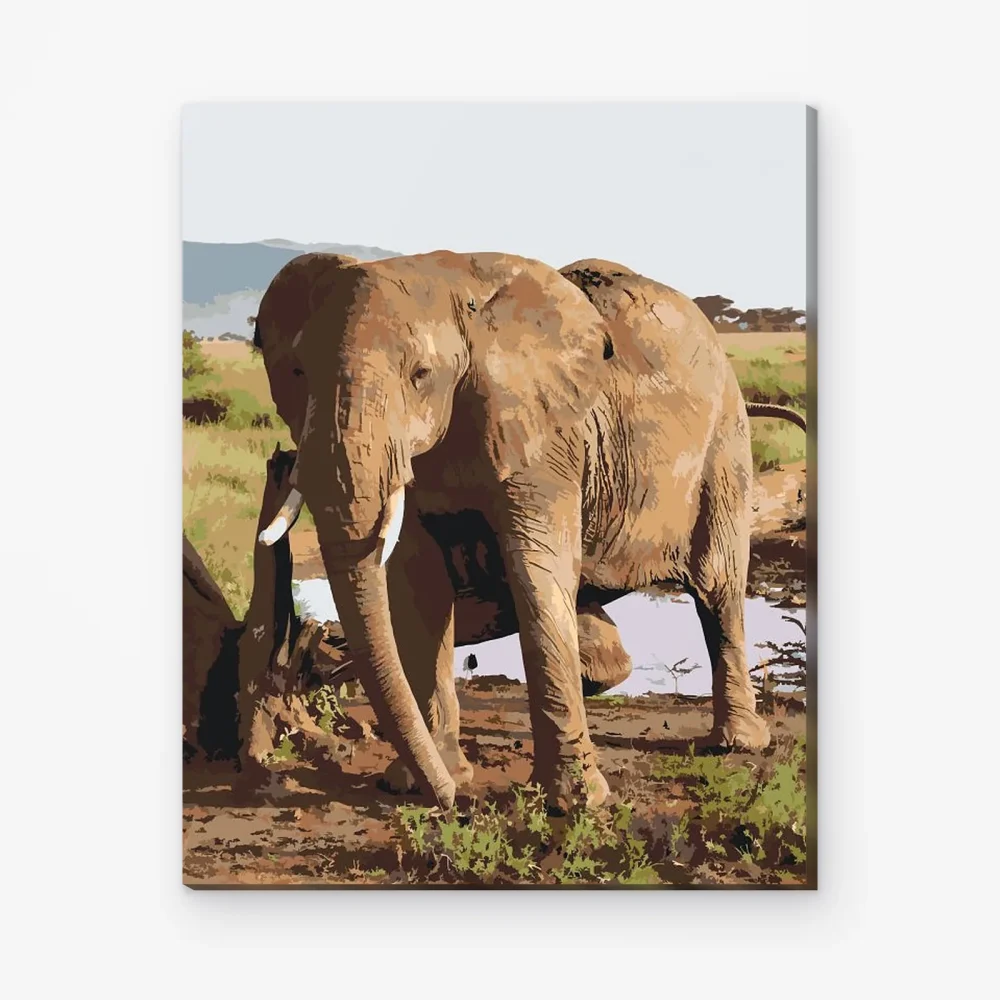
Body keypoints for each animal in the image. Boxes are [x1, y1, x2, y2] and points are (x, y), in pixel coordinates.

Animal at [252, 250, 806, 813]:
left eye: (420, 374)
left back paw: (735, 744)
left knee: (718, 587)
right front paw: (418, 782)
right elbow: (418, 586)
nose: (452, 802)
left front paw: (575, 803)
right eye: (298, 373)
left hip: (725, 447)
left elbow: (535, 569)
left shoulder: (546, 440)